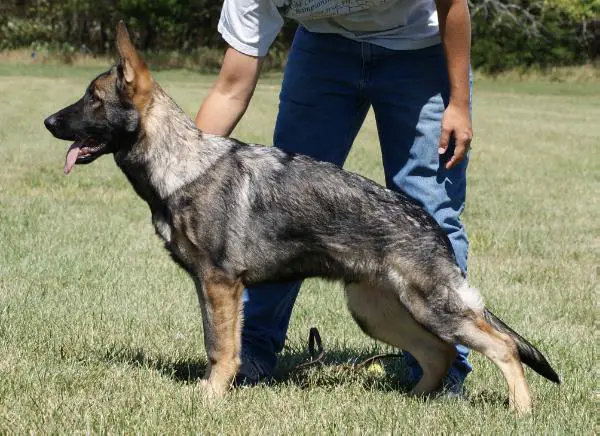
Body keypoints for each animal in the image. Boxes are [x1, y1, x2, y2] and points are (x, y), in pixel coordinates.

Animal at [44, 23, 560, 412]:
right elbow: (220, 344)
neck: (181, 165)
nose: (48, 122)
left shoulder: (220, 285)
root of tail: (428, 222)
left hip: (430, 307)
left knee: (500, 347)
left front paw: (211, 397)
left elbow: (220, 348)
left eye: (92, 98)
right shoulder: (212, 287)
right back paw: (412, 401)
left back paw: (520, 409)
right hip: (376, 312)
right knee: (439, 353)